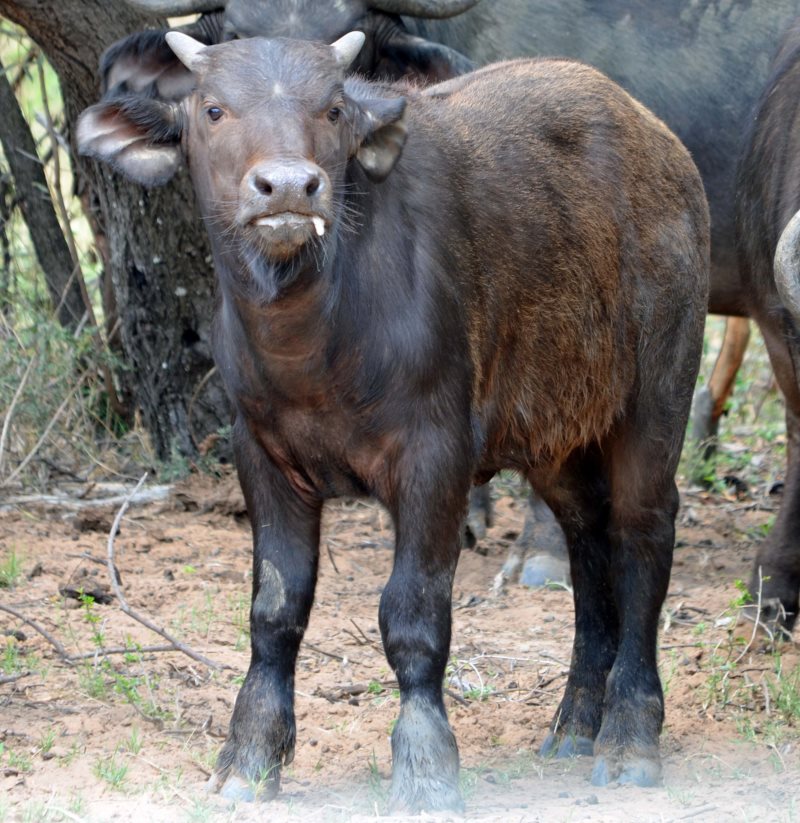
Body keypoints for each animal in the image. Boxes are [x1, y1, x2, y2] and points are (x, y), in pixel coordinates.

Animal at [77, 31, 709, 809]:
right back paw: (575, 722)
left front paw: (426, 766)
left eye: (334, 108)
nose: (289, 187)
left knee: (642, 532)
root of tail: (663, 147)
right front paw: (250, 757)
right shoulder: (260, 455)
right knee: (587, 535)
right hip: (554, 429)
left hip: (658, 389)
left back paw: (629, 734)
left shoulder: (435, 457)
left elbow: (413, 614)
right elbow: (274, 609)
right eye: (213, 109)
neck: (315, 342)